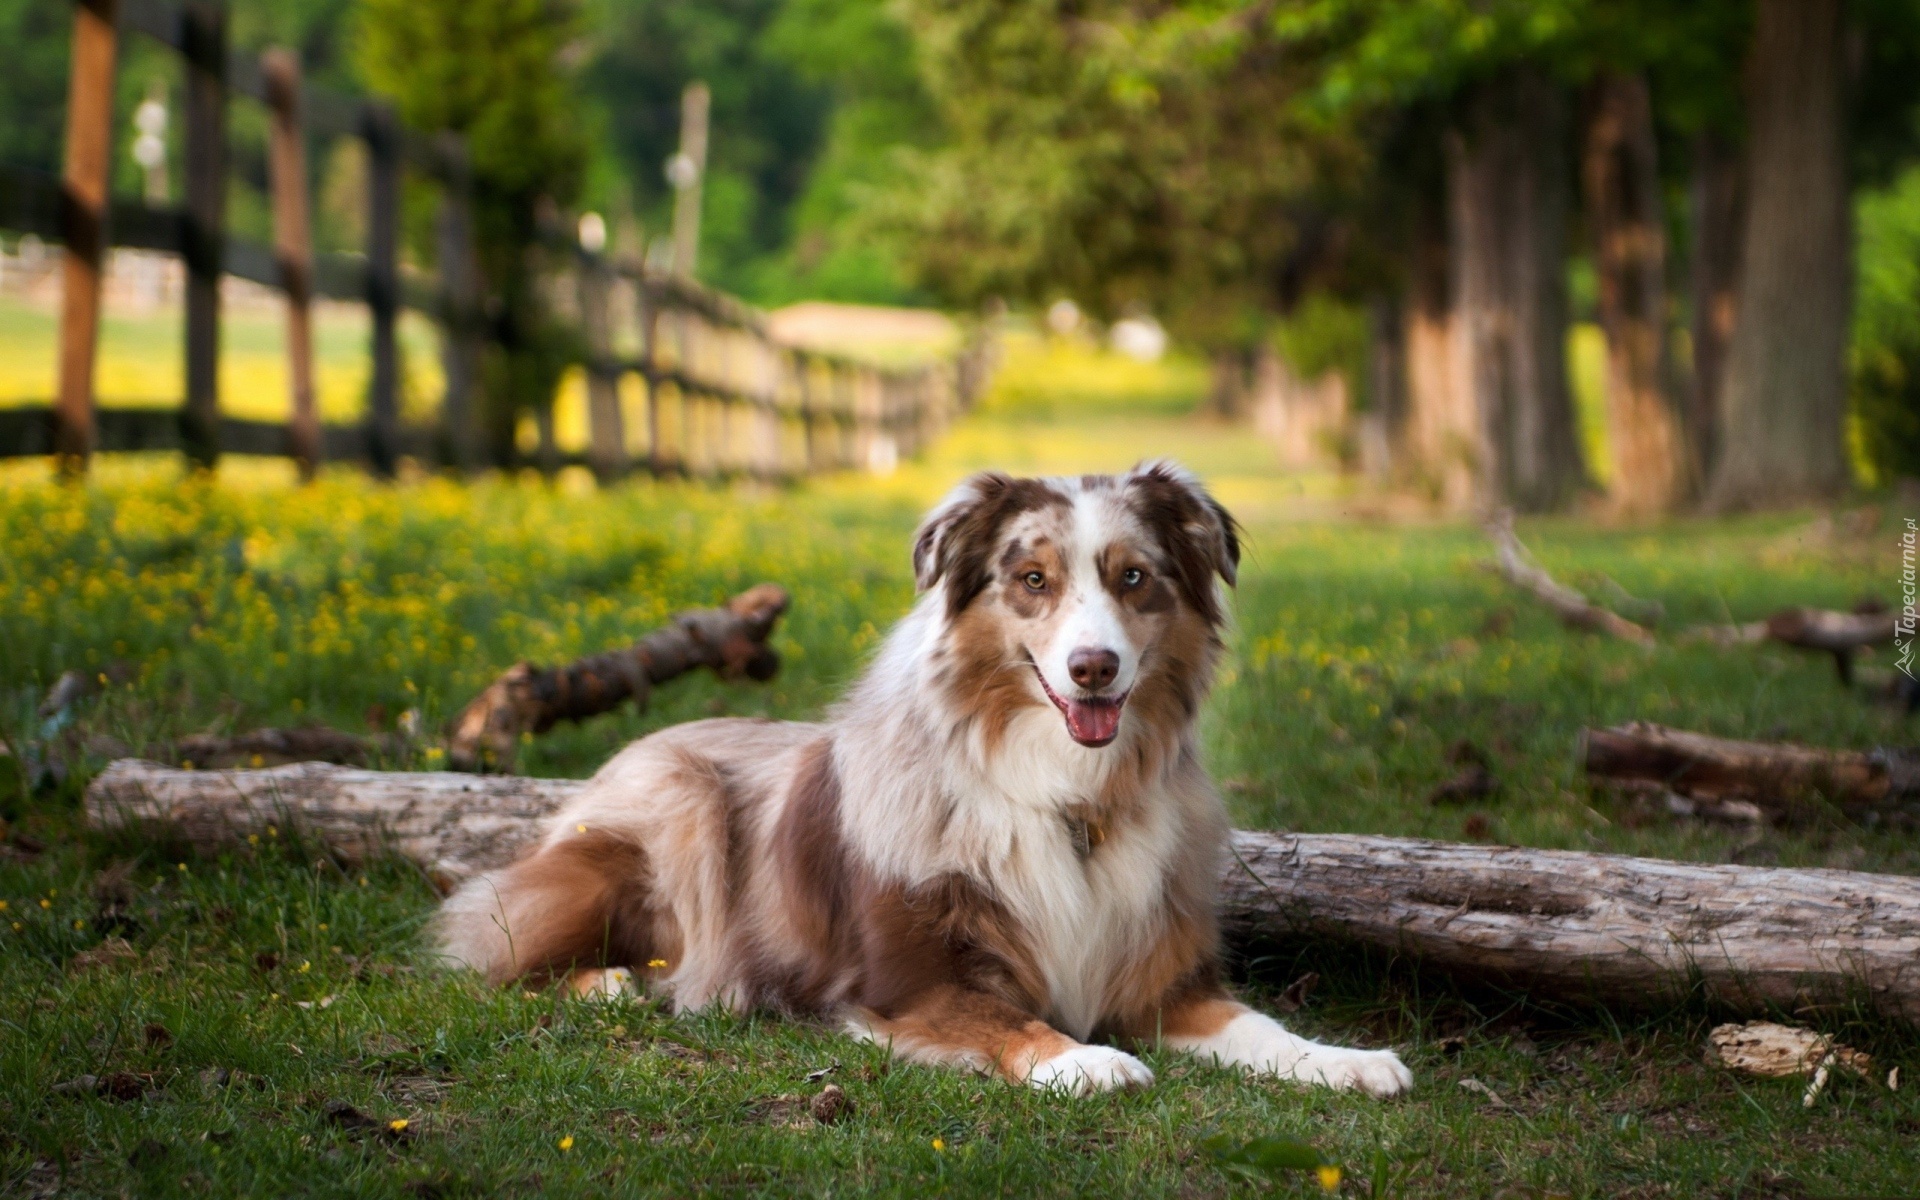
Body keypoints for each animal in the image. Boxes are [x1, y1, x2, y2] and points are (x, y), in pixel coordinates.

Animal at [441, 458, 1420, 1098]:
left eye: (1134, 577)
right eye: (1034, 579)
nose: (1094, 668)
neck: (1066, 797)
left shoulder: (1160, 983)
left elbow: (1260, 1025)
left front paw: (1345, 1061)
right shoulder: (908, 987)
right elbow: (1009, 1021)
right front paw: (1085, 1059)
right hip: (675, 807)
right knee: (484, 949)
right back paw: (609, 983)